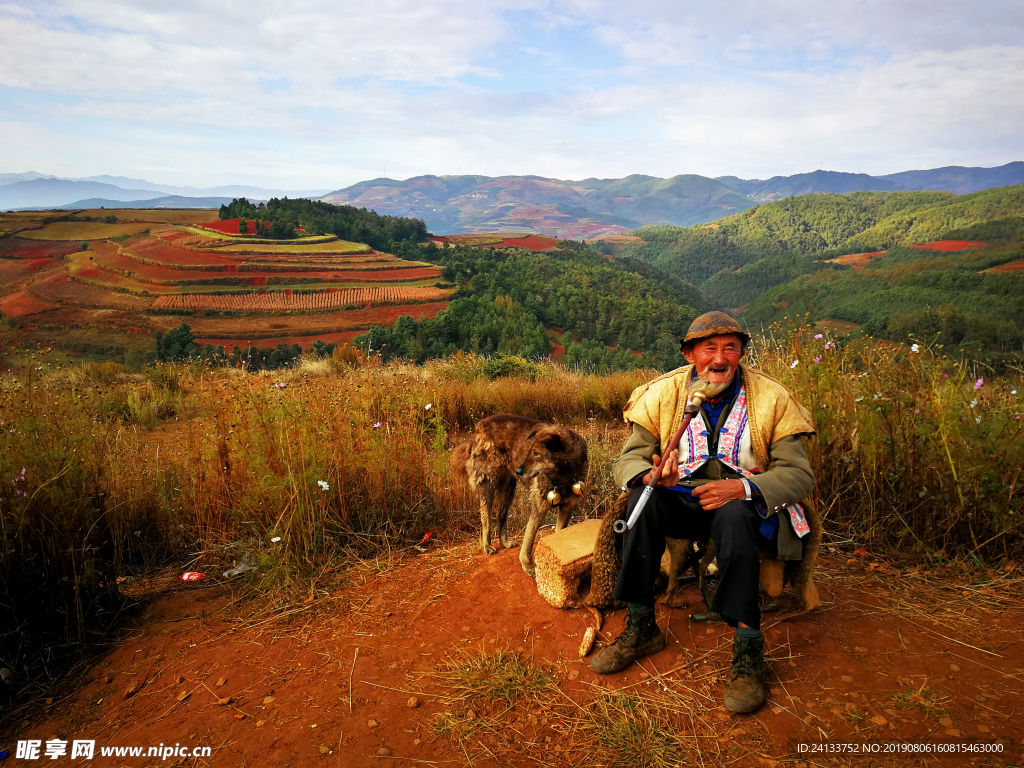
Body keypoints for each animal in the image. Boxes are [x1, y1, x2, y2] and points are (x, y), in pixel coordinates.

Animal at [450, 415, 589, 577]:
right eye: (529, 451)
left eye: (536, 453)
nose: (518, 470)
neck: (562, 475)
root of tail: (480, 426)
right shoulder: (538, 509)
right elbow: (528, 540)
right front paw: (528, 566)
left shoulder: (567, 509)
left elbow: (559, 534)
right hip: (488, 485)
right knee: (486, 518)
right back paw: (487, 546)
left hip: (509, 488)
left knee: (500, 515)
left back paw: (505, 542)